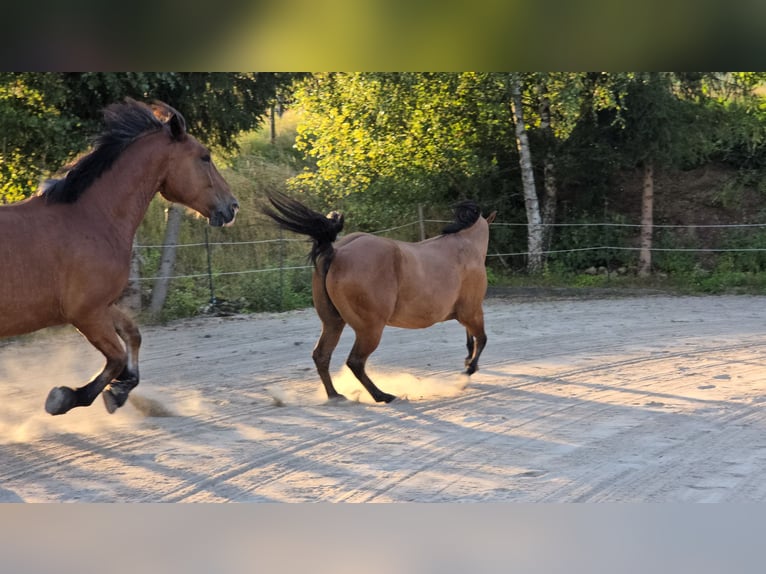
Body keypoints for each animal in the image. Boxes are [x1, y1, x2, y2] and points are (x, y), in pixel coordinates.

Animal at [0, 98, 240, 414]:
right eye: (204, 157)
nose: (232, 206)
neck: (91, 219)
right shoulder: (86, 314)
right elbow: (115, 358)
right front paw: (65, 397)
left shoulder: (101, 306)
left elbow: (132, 337)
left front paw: (120, 390)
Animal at [264, 194, 498, 404]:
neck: (465, 246)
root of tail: (336, 252)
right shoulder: (472, 311)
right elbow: (482, 339)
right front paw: (466, 373)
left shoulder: (466, 312)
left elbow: (471, 340)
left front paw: (468, 363)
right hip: (370, 329)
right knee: (355, 362)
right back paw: (383, 396)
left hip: (333, 322)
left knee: (322, 355)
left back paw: (336, 396)